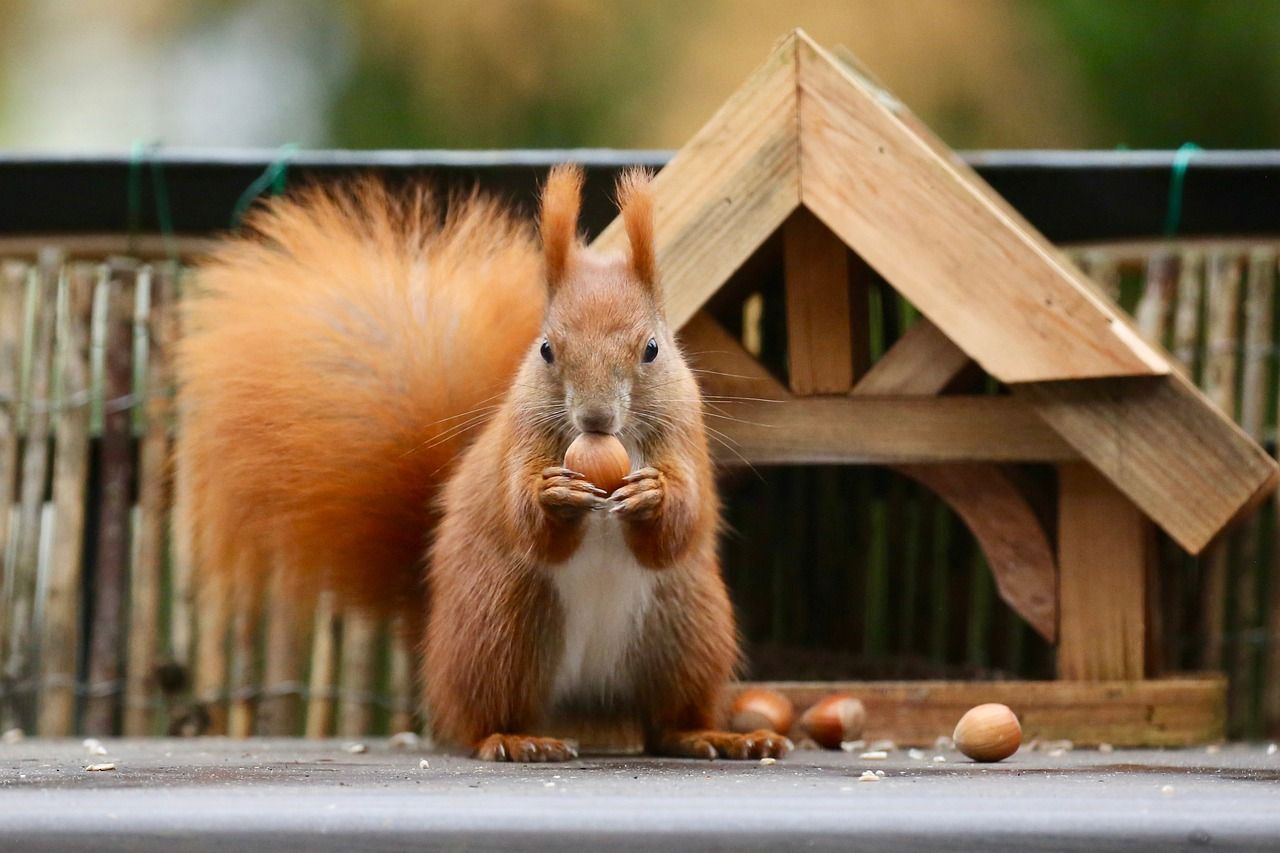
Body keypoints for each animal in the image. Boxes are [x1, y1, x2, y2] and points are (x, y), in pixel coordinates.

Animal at [172, 163, 788, 758]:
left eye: (652, 349)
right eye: (546, 349)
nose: (595, 418)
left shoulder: (685, 437)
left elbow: (681, 525)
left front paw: (652, 495)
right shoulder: (519, 440)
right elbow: (529, 523)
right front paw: (554, 495)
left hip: (686, 632)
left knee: (666, 723)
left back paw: (715, 736)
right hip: (502, 628)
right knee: (479, 718)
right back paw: (514, 740)